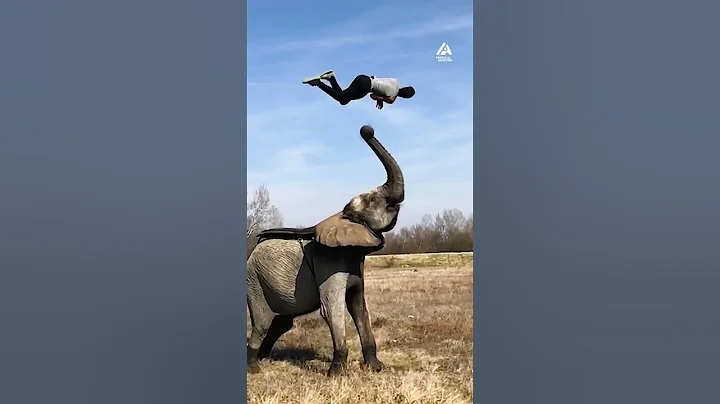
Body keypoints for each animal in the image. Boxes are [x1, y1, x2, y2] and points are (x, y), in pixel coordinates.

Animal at [246, 124, 404, 376]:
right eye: (372, 199)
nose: (366, 130)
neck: (342, 215)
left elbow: (358, 306)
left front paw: (376, 368)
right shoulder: (329, 263)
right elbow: (332, 308)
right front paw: (337, 375)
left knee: (281, 322)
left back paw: (263, 358)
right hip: (255, 281)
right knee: (262, 323)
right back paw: (255, 368)